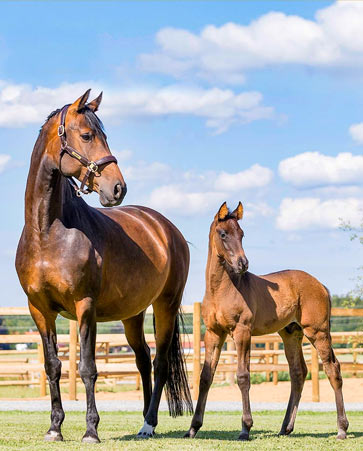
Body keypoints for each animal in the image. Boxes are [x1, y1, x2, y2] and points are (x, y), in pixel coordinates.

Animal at [16, 90, 193, 444]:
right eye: (87, 135)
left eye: (104, 136)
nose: (118, 188)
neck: (47, 233)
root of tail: (166, 228)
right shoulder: (39, 309)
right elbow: (53, 366)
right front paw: (55, 428)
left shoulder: (85, 305)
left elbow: (87, 367)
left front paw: (90, 430)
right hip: (133, 314)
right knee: (142, 360)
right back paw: (143, 423)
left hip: (166, 305)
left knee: (160, 363)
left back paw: (149, 423)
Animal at [188, 202, 350, 442]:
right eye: (223, 233)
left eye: (242, 234)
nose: (243, 263)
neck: (222, 289)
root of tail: (320, 285)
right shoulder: (213, 333)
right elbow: (206, 376)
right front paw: (193, 428)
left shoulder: (242, 332)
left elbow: (243, 376)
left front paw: (245, 428)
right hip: (291, 334)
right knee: (298, 372)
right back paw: (285, 427)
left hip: (318, 332)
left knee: (333, 369)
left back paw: (341, 428)